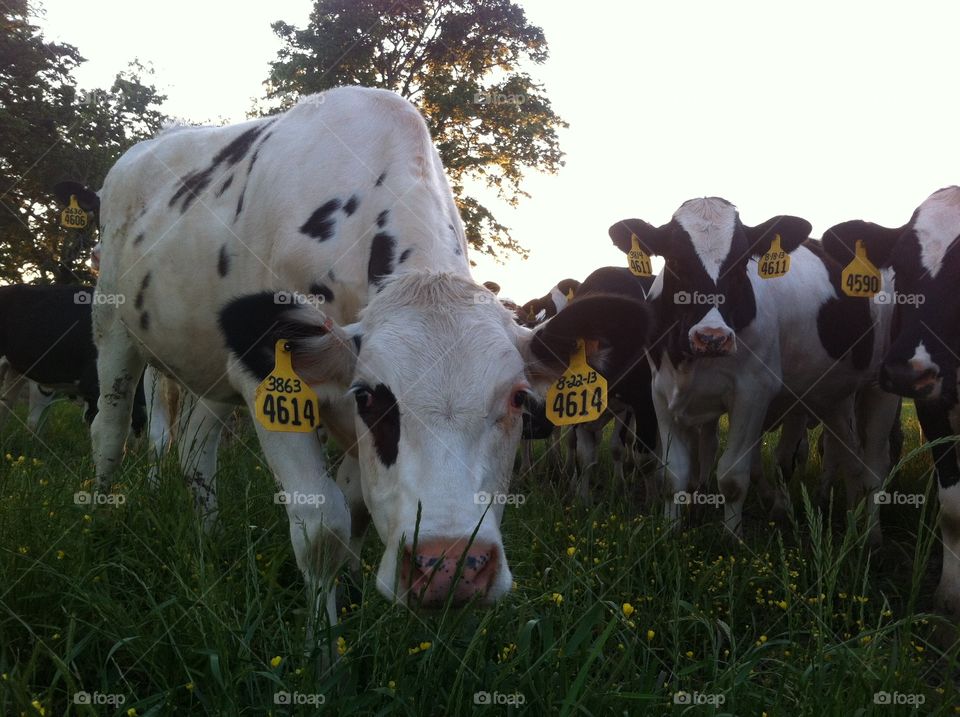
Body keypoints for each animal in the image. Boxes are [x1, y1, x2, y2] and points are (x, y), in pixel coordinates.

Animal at [72, 87, 651, 642]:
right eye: (373, 397)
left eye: (518, 399)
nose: (449, 567)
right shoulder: (270, 385)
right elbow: (322, 526)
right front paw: (323, 648)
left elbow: (354, 516)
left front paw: (349, 598)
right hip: (112, 324)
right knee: (110, 429)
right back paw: (101, 521)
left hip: (212, 364)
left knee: (195, 447)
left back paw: (206, 538)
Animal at [609, 198, 900, 539]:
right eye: (676, 261)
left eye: (741, 264)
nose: (712, 337)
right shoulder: (661, 393)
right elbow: (673, 475)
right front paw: (670, 531)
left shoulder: (753, 392)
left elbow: (733, 477)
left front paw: (731, 538)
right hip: (832, 394)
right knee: (849, 456)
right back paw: (853, 520)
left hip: (880, 388)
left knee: (874, 465)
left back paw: (872, 534)